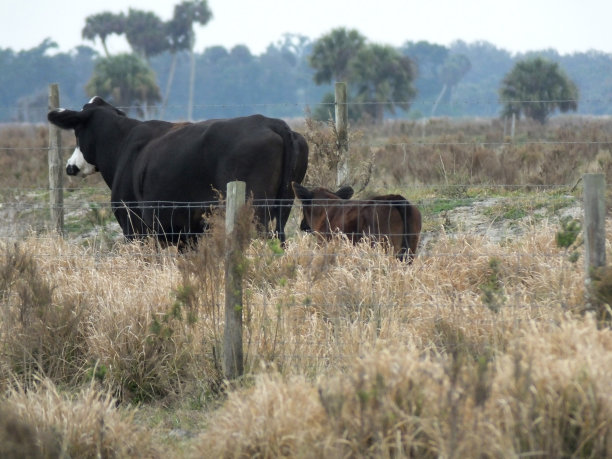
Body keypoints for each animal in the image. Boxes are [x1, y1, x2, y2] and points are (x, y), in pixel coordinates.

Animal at [48, 97, 308, 248]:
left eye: (77, 131)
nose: (70, 166)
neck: (123, 143)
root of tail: (272, 122)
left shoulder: (134, 226)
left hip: (255, 211)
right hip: (283, 207)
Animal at [292, 182, 420, 262]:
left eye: (303, 206)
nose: (302, 225)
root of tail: (395, 198)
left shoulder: (323, 243)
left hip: (386, 246)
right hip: (410, 248)